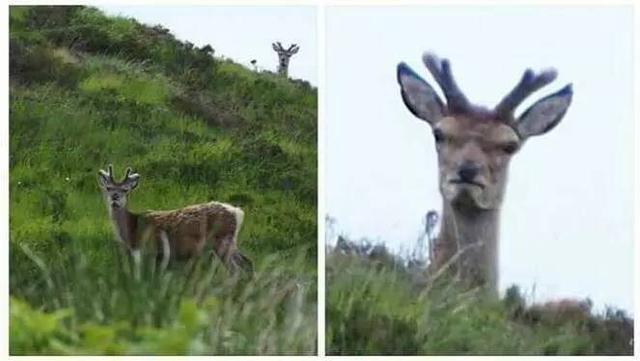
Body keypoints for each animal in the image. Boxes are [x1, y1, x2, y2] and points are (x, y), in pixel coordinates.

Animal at [97, 165, 252, 278]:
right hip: (230, 241)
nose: (115, 198)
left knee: (236, 269)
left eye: (125, 190)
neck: (133, 229)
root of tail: (237, 212)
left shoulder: (154, 251)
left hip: (222, 240)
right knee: (247, 263)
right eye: (108, 188)